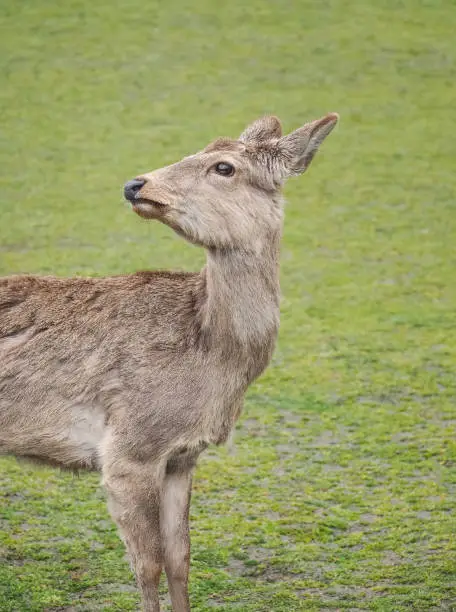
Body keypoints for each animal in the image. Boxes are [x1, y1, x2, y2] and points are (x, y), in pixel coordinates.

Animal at [0, 112, 338, 608]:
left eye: (223, 166)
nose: (134, 184)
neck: (216, 364)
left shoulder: (182, 456)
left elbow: (181, 560)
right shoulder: (129, 449)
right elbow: (148, 567)